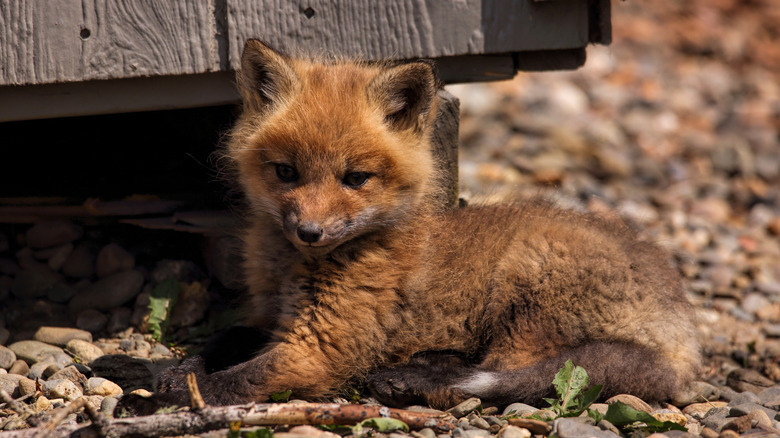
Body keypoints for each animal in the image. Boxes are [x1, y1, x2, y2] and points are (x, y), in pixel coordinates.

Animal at [150, 40, 700, 410]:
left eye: (355, 178)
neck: (297, 268)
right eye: (286, 172)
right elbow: (223, 342)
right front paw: (177, 370)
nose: (309, 232)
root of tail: (682, 331)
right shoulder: (272, 318)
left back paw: (411, 380)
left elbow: (241, 378)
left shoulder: (322, 343)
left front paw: (184, 392)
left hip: (527, 282)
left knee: (508, 378)